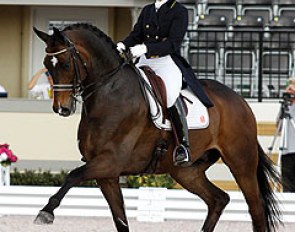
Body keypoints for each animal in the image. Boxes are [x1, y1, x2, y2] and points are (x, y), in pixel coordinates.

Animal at [33, 24, 280, 232]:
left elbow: (73, 175)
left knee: (256, 208)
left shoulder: (110, 161)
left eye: (65, 64)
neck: (110, 92)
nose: (62, 108)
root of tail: (241, 101)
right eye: (46, 65)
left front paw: (46, 212)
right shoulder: (107, 175)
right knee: (218, 199)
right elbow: (121, 221)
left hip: (241, 163)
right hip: (186, 171)